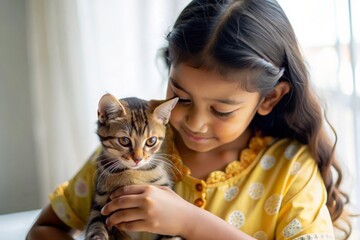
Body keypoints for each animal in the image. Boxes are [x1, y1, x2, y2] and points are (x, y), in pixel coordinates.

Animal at [84, 94, 180, 240]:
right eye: (124, 140)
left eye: (151, 141)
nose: (138, 159)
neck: (132, 173)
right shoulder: (99, 206)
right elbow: (95, 227)